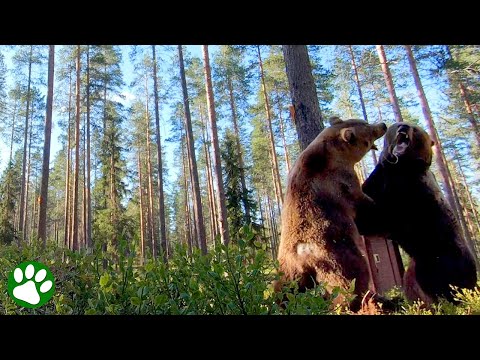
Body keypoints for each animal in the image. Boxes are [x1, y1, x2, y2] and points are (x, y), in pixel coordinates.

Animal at [274, 118, 386, 312]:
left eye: (364, 121)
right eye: (370, 133)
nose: (383, 125)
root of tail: (302, 258)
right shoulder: (342, 184)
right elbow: (364, 205)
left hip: (286, 271)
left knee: (282, 291)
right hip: (336, 255)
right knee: (351, 277)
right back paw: (357, 301)